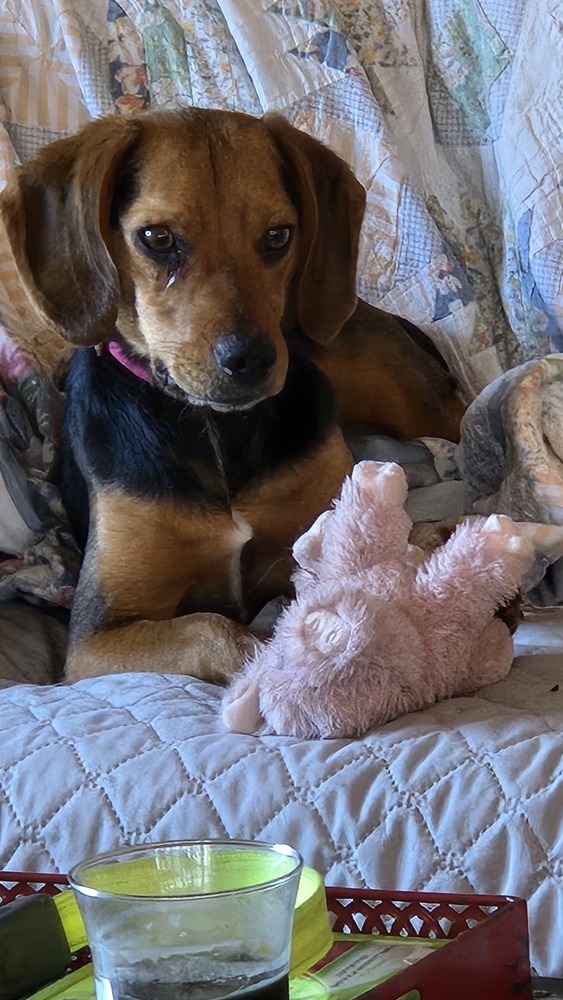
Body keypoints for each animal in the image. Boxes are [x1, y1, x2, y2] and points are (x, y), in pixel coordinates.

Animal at [0, 111, 468, 688]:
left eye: (278, 236)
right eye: (157, 238)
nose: (251, 361)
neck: (216, 429)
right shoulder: (96, 638)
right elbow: (213, 629)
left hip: (406, 396)